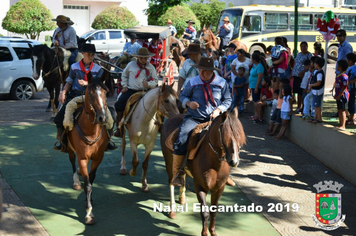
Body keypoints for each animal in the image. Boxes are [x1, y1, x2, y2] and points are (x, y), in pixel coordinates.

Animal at [67, 70, 110, 225]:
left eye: (105, 92)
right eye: (90, 93)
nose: (102, 118)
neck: (91, 131)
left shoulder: (98, 157)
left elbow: (91, 179)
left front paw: (89, 200)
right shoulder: (83, 158)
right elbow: (87, 185)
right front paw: (89, 214)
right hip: (69, 149)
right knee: (72, 162)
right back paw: (76, 180)